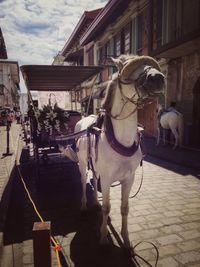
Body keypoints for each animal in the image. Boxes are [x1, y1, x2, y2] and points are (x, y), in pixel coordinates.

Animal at [62, 54, 164, 249]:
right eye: (128, 68)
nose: (158, 78)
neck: (121, 141)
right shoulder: (108, 179)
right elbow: (107, 207)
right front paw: (103, 237)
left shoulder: (128, 178)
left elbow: (124, 208)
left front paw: (126, 240)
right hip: (82, 164)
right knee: (83, 181)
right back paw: (84, 205)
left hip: (95, 166)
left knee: (94, 180)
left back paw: (95, 202)